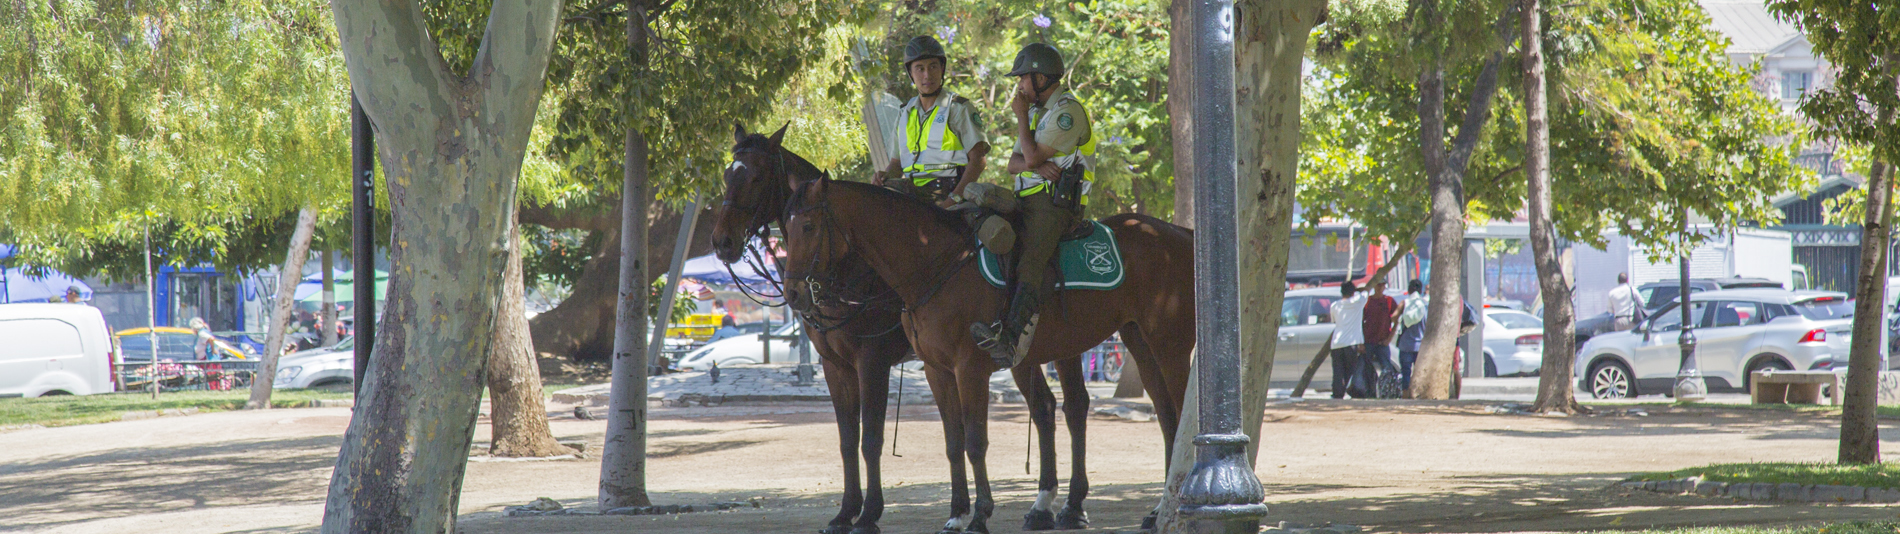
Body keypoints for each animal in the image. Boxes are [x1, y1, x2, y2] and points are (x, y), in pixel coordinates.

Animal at [710, 125, 1102, 532]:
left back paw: (1073, 505)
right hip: (1023, 355)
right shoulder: (835, 366)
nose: (722, 242)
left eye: (756, 177)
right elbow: (847, 440)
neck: (851, 266)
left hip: (1065, 348)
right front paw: (845, 511)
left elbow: (871, 439)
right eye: (726, 175)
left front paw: (869, 514)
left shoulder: (872, 362)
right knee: (1044, 408)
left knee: (1074, 407)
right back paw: (1043, 506)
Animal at [775, 173, 1193, 528]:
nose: (793, 293)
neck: (935, 263)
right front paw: (958, 513)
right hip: (1137, 343)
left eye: (808, 227)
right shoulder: (934, 371)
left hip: (1169, 345)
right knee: (1159, 416)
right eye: (785, 228)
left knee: (1170, 411)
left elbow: (972, 442)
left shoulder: (956, 368)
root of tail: (1181, 233)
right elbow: (951, 442)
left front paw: (978, 515)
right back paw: (1144, 509)